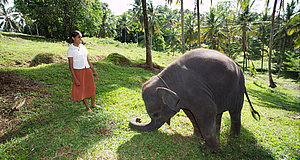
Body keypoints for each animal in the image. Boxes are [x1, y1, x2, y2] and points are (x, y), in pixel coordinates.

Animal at [127, 48, 258, 151]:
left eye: (156, 114)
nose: (138, 118)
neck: (166, 81)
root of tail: (239, 68)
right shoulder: (185, 98)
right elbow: (190, 114)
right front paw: (196, 136)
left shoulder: (195, 91)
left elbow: (207, 111)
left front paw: (208, 149)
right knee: (219, 112)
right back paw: (218, 132)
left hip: (238, 90)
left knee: (235, 112)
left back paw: (233, 136)